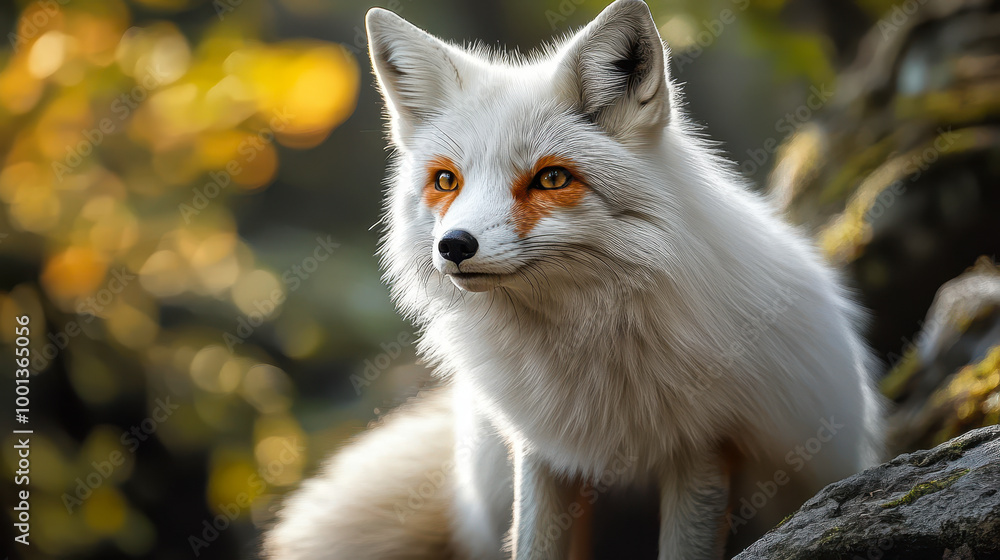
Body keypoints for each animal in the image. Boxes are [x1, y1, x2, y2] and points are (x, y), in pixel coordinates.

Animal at [264, 1, 884, 558]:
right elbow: (533, 545)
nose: (454, 246)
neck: (587, 350)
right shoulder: (544, 451)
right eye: (446, 181)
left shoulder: (706, 449)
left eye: (551, 178)